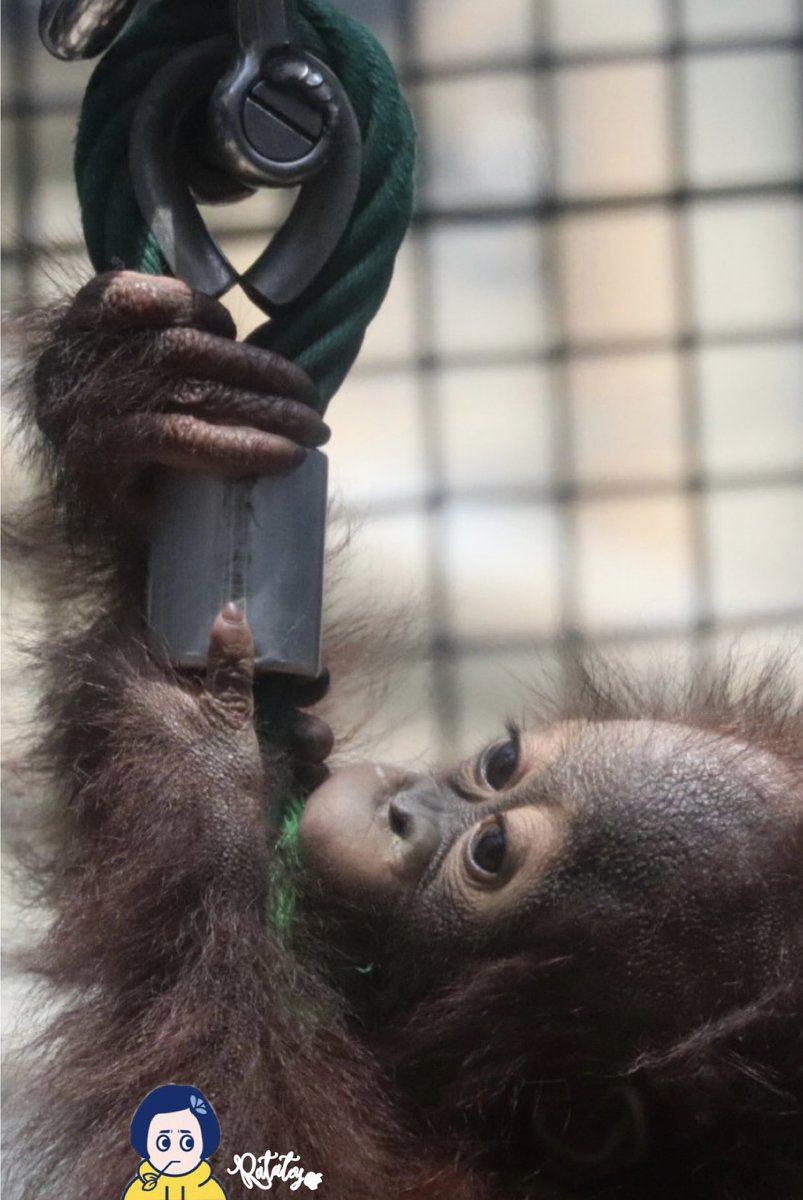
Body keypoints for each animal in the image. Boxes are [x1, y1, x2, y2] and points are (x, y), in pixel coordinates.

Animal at [4, 270, 802, 1200]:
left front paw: (200, 768)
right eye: (499, 761)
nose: (401, 809)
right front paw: (138, 402)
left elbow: (256, 1142)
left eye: (488, 853)